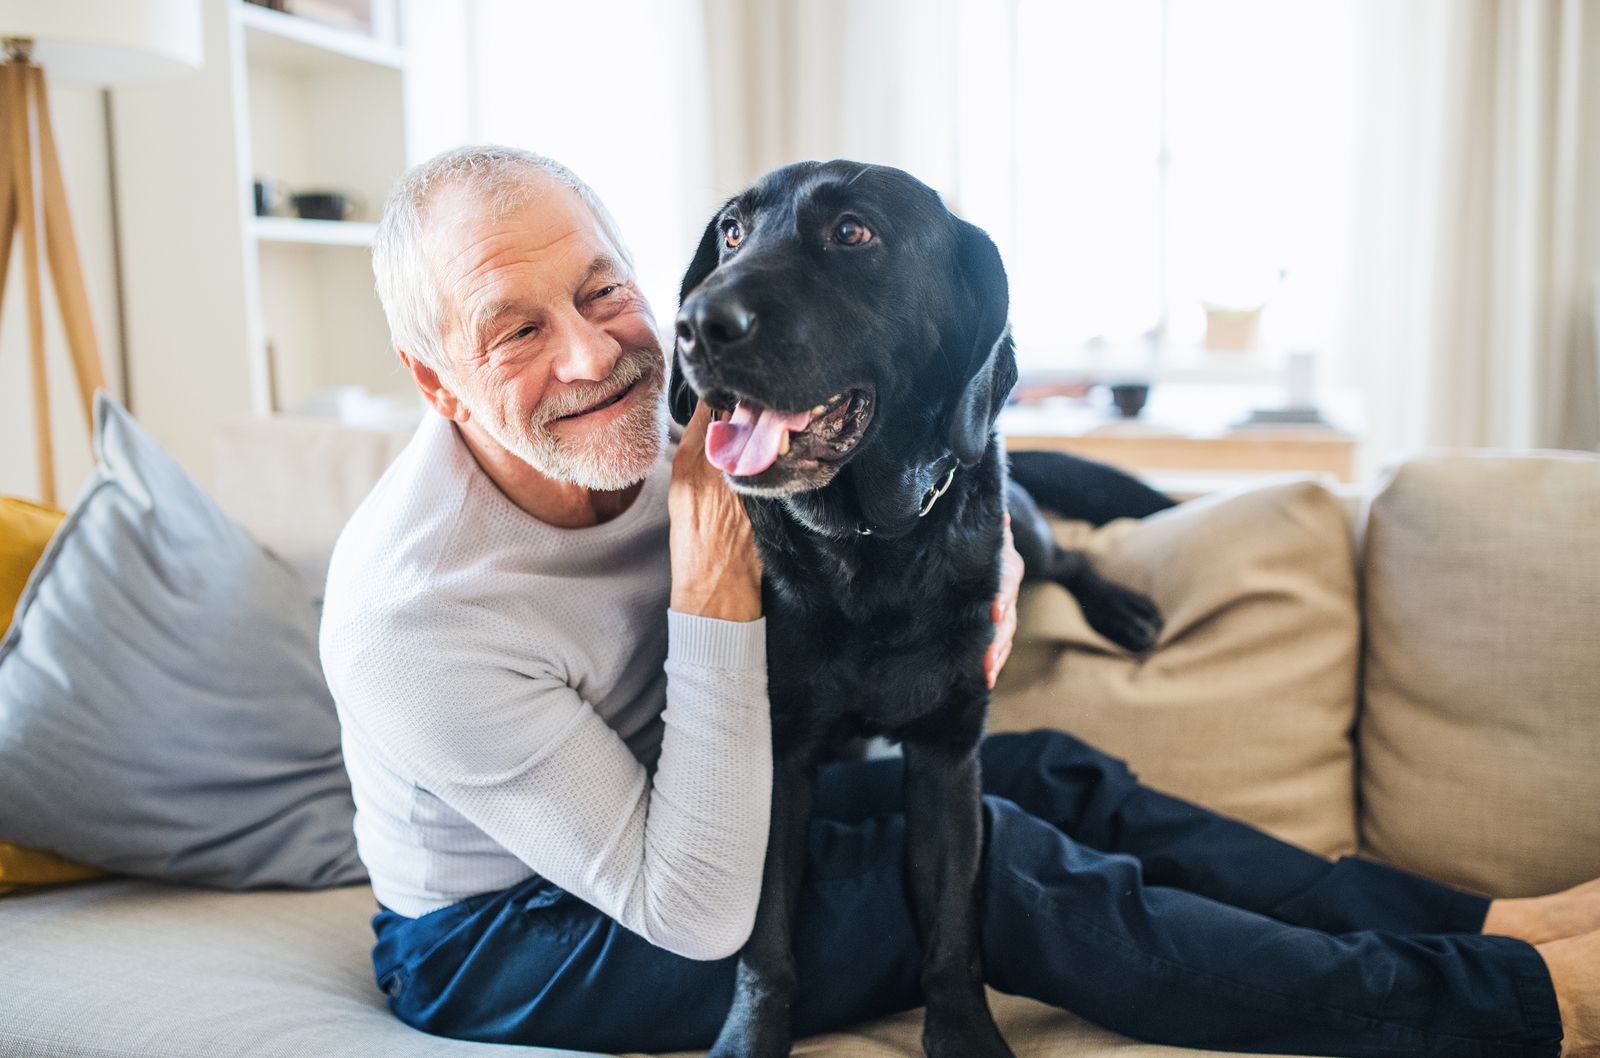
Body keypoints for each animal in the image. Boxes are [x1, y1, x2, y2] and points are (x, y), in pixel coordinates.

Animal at [668, 159, 1171, 1056]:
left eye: (853, 232)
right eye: (730, 232)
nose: (695, 323)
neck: (866, 546)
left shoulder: (946, 754)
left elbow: (951, 930)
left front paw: (966, 1033)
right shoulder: (777, 756)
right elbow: (765, 937)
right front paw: (751, 1037)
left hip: (1021, 529)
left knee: (1070, 555)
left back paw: (1123, 609)